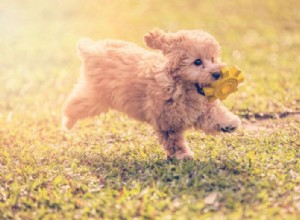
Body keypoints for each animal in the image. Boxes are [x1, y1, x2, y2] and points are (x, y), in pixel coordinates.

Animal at [62, 29, 241, 160]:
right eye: (197, 62)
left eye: (213, 59)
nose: (217, 73)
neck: (180, 87)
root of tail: (91, 49)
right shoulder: (167, 120)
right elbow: (174, 140)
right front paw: (182, 155)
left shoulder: (199, 108)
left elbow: (214, 113)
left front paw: (229, 123)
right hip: (96, 97)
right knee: (75, 104)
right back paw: (67, 122)